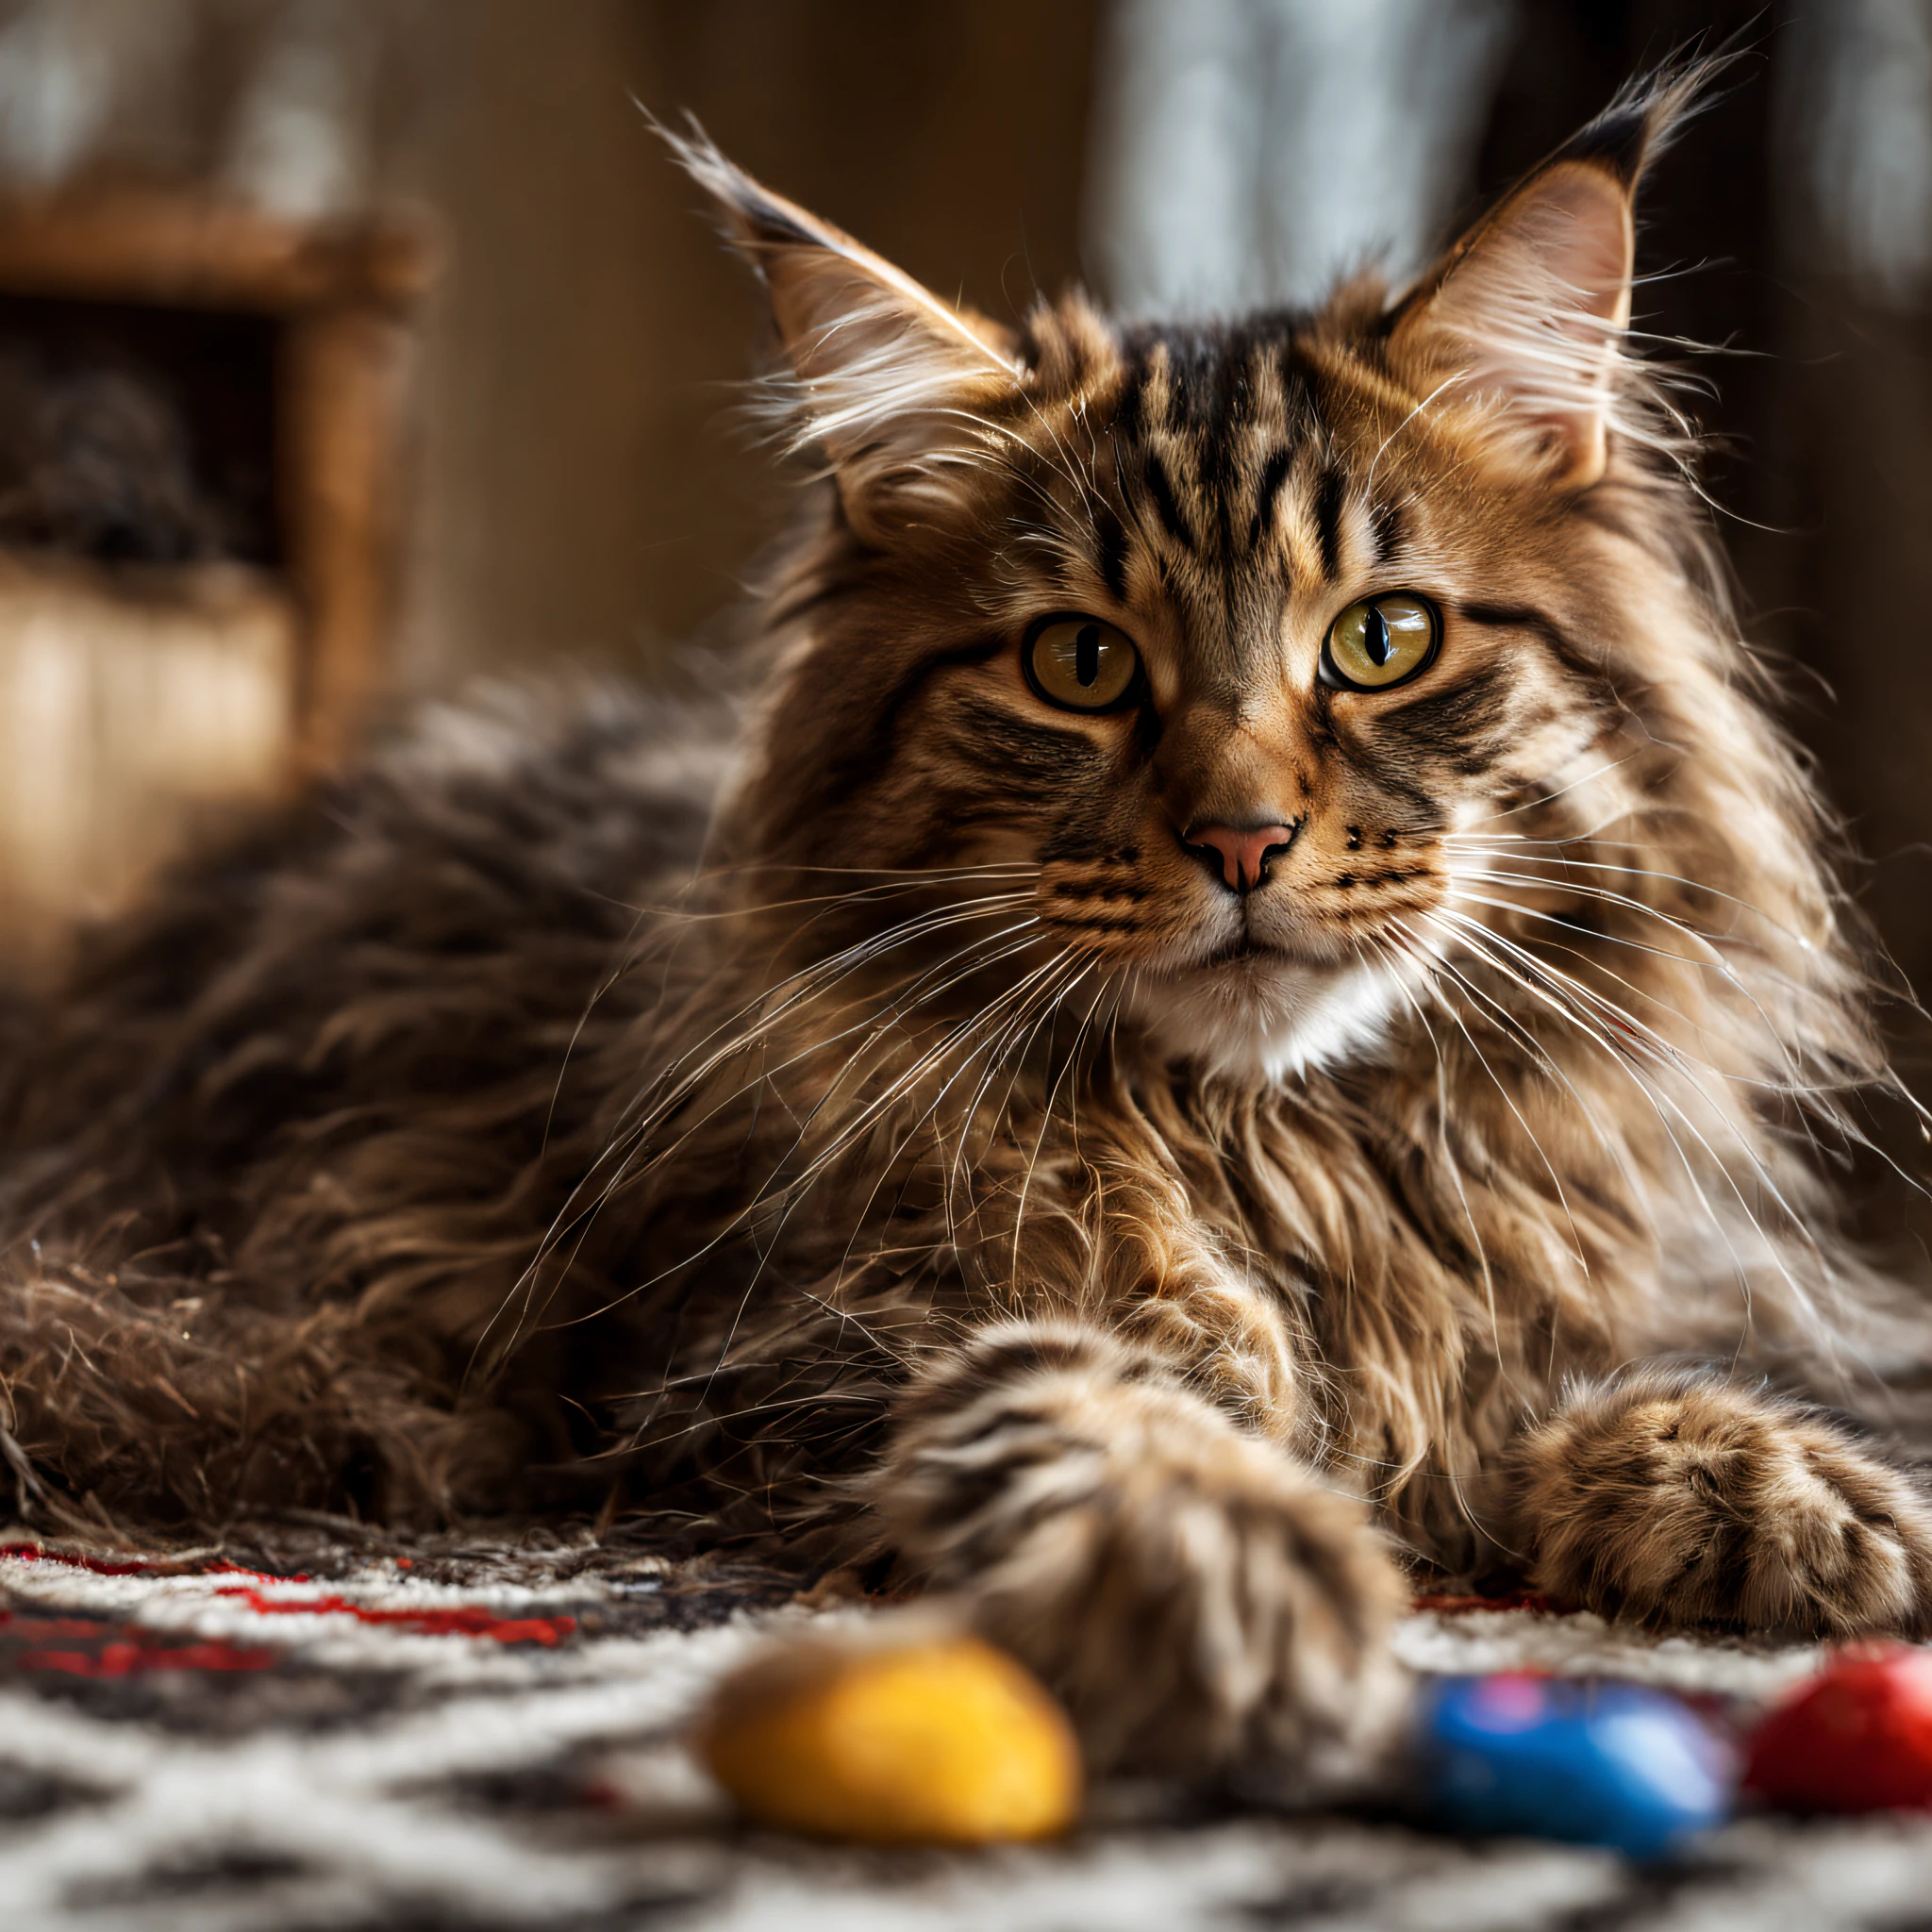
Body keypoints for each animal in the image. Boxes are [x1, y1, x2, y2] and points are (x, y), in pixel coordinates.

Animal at [4, 68, 1932, 1785]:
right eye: (1078, 664)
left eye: (1382, 639)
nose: (1243, 836)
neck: (1277, 1146)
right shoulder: (779, 1340)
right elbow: (1082, 1384)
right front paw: (1223, 1547)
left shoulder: (1538, 1264)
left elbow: (1547, 1367)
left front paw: (1762, 1481)